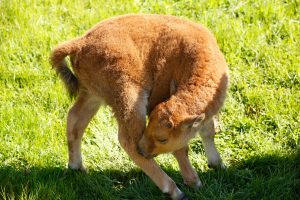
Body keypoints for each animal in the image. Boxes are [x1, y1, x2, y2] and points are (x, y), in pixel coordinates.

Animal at [51, 14, 229, 200]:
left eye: (162, 139)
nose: (143, 150)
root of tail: (80, 43)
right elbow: (181, 148)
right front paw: (194, 181)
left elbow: (208, 131)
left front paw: (218, 164)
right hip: (129, 99)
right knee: (127, 139)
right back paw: (173, 190)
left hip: (92, 95)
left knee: (75, 120)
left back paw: (77, 166)